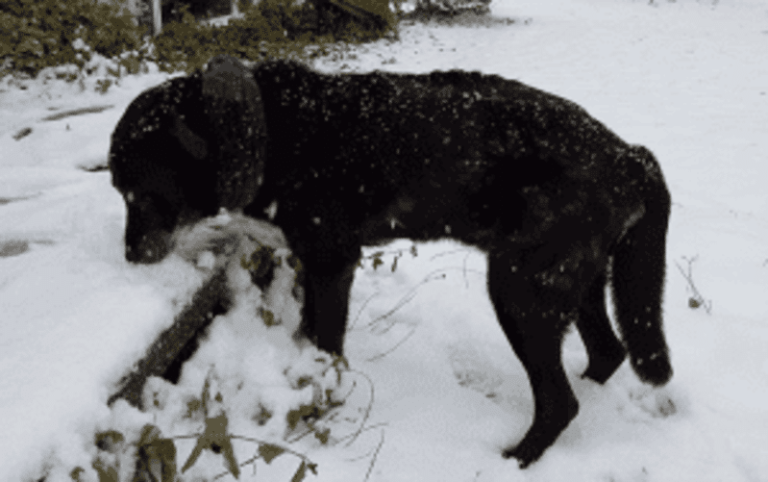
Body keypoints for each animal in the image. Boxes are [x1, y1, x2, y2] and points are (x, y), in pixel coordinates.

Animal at [108, 55, 672, 466]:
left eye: (141, 194)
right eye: (117, 191)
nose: (131, 257)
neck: (270, 130)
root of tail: (631, 156)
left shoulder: (332, 263)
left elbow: (327, 346)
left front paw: (321, 407)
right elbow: (310, 337)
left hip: (520, 290)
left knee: (558, 402)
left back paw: (516, 458)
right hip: (574, 283)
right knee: (607, 355)